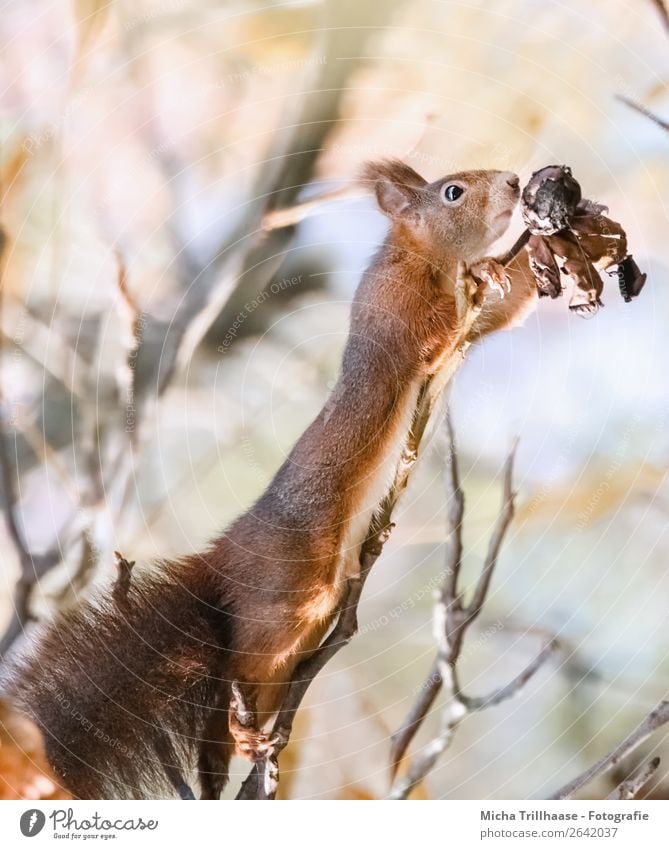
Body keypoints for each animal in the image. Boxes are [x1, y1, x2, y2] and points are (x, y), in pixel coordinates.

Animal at [2, 161, 536, 800]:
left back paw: (253, 742)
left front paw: (537, 259)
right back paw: (243, 735)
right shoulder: (394, 311)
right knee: (243, 662)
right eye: (452, 191)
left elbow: (499, 315)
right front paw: (485, 270)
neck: (419, 255)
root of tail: (223, 559)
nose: (514, 183)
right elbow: (431, 333)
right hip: (290, 595)